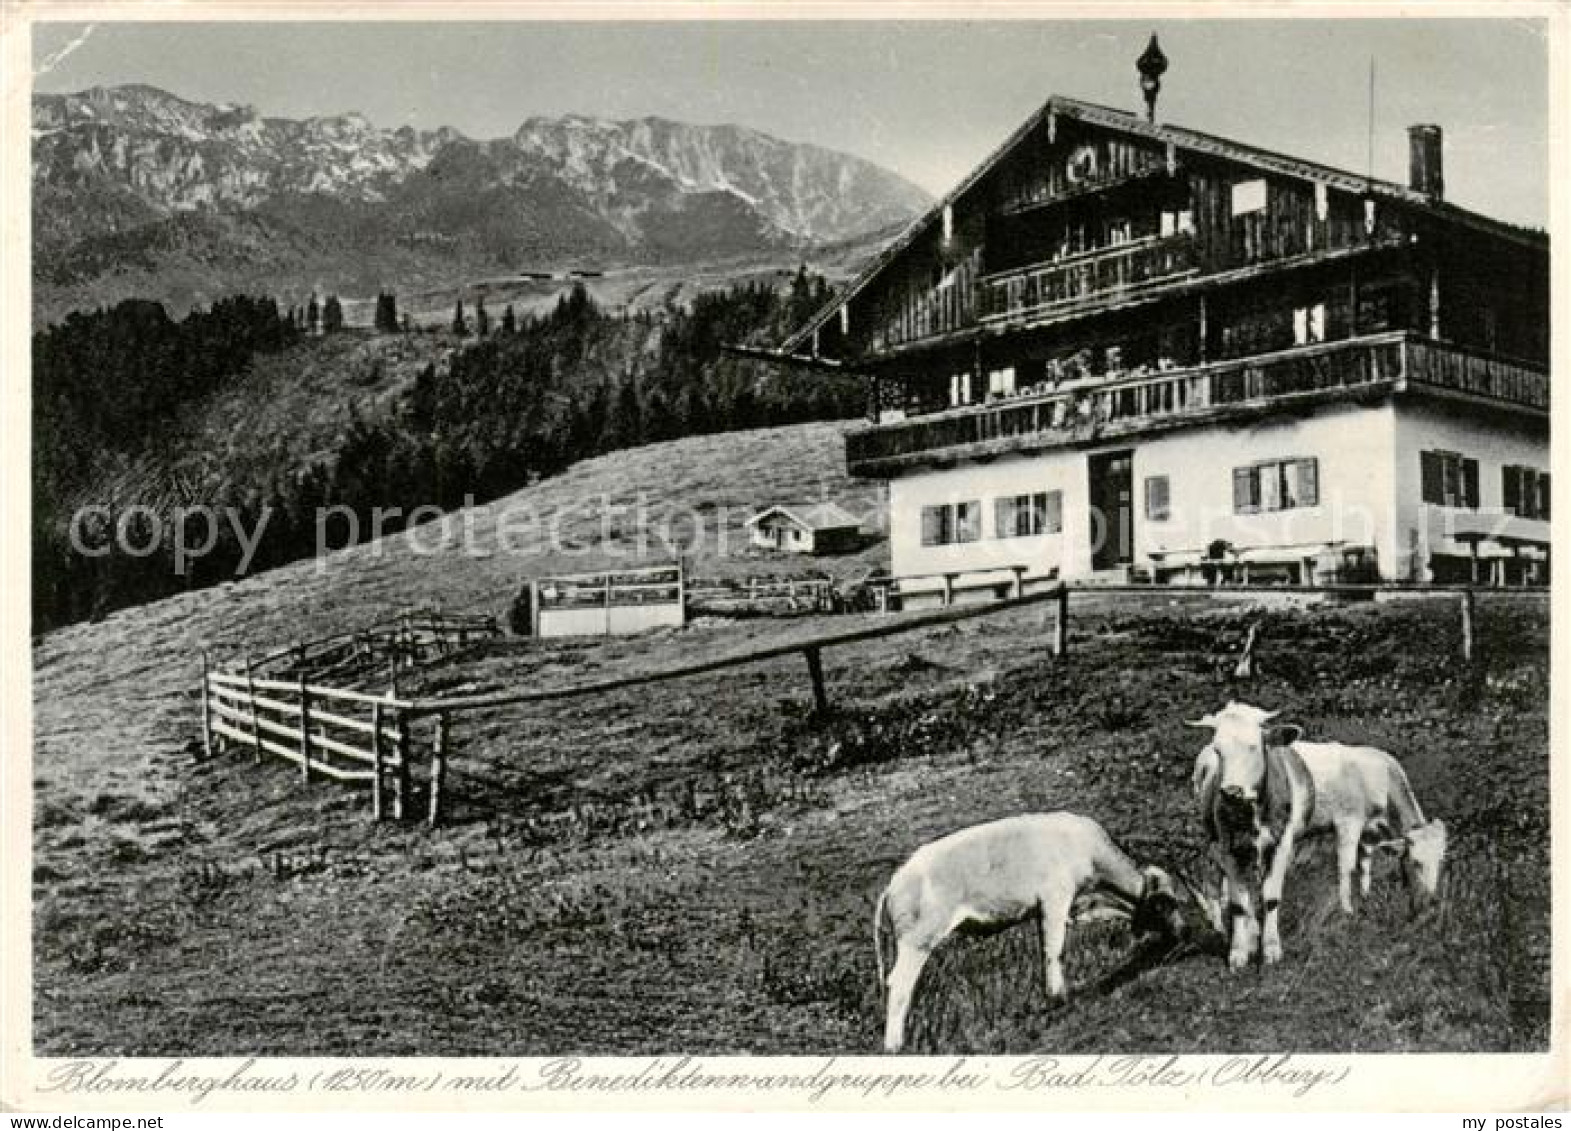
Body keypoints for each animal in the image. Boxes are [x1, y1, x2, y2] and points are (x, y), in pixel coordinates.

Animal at [873, 810, 1187, 1049]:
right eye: (1170, 904)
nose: (1184, 932)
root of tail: (894, 881)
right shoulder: (1054, 900)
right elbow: (1054, 951)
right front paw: (1059, 999)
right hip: (918, 940)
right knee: (899, 984)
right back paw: (895, 1046)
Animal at [1187, 697, 1445, 973]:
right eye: (1416, 863)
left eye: (1440, 862)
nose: (1432, 900)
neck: (1382, 778)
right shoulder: (1347, 822)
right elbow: (1346, 868)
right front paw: (1346, 912)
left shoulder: (1367, 833)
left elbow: (1364, 866)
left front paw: (1365, 900)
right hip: (1214, 840)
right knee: (1214, 880)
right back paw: (1221, 927)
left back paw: (1250, 930)